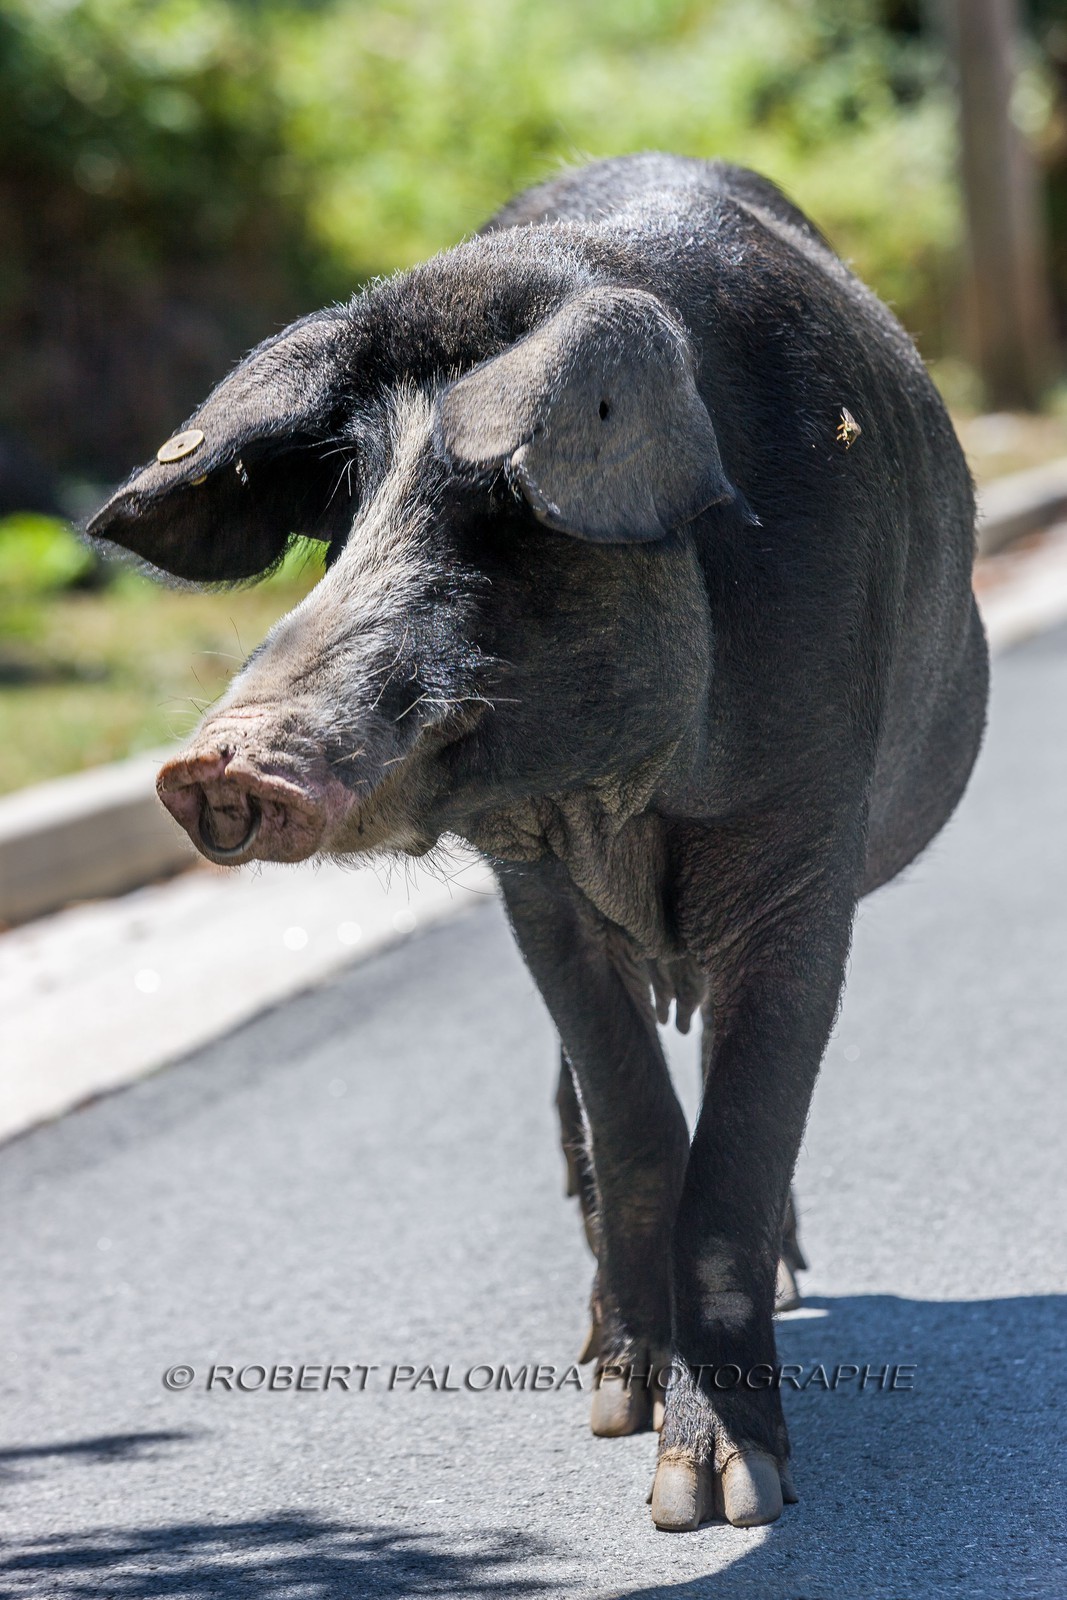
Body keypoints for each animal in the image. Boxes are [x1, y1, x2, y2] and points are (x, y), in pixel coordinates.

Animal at [88, 154, 989, 1530]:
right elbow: (631, 1124)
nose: (216, 759)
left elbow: (738, 1141)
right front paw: (615, 1409)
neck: (624, 799)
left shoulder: (806, 846)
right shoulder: (532, 884)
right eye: (342, 514)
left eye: (508, 512)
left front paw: (716, 1497)